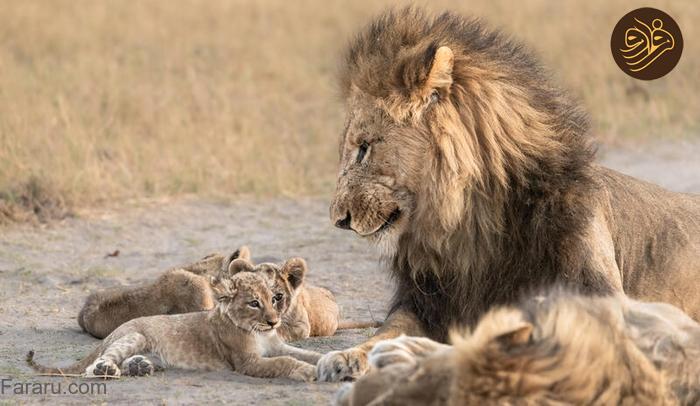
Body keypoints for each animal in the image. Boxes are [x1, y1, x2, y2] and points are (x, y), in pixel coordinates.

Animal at [318, 6, 700, 380]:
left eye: (364, 148)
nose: (338, 220)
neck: (470, 225)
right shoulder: (426, 304)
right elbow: (385, 332)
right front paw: (345, 356)